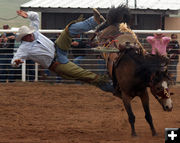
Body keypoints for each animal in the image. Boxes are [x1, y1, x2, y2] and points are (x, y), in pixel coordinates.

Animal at [93, 4, 173, 136]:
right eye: (158, 88)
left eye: (168, 85)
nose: (169, 107)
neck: (135, 72)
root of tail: (117, 24)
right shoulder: (125, 96)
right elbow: (131, 116)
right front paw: (134, 134)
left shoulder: (144, 94)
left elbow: (148, 115)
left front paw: (154, 132)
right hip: (101, 39)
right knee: (101, 28)